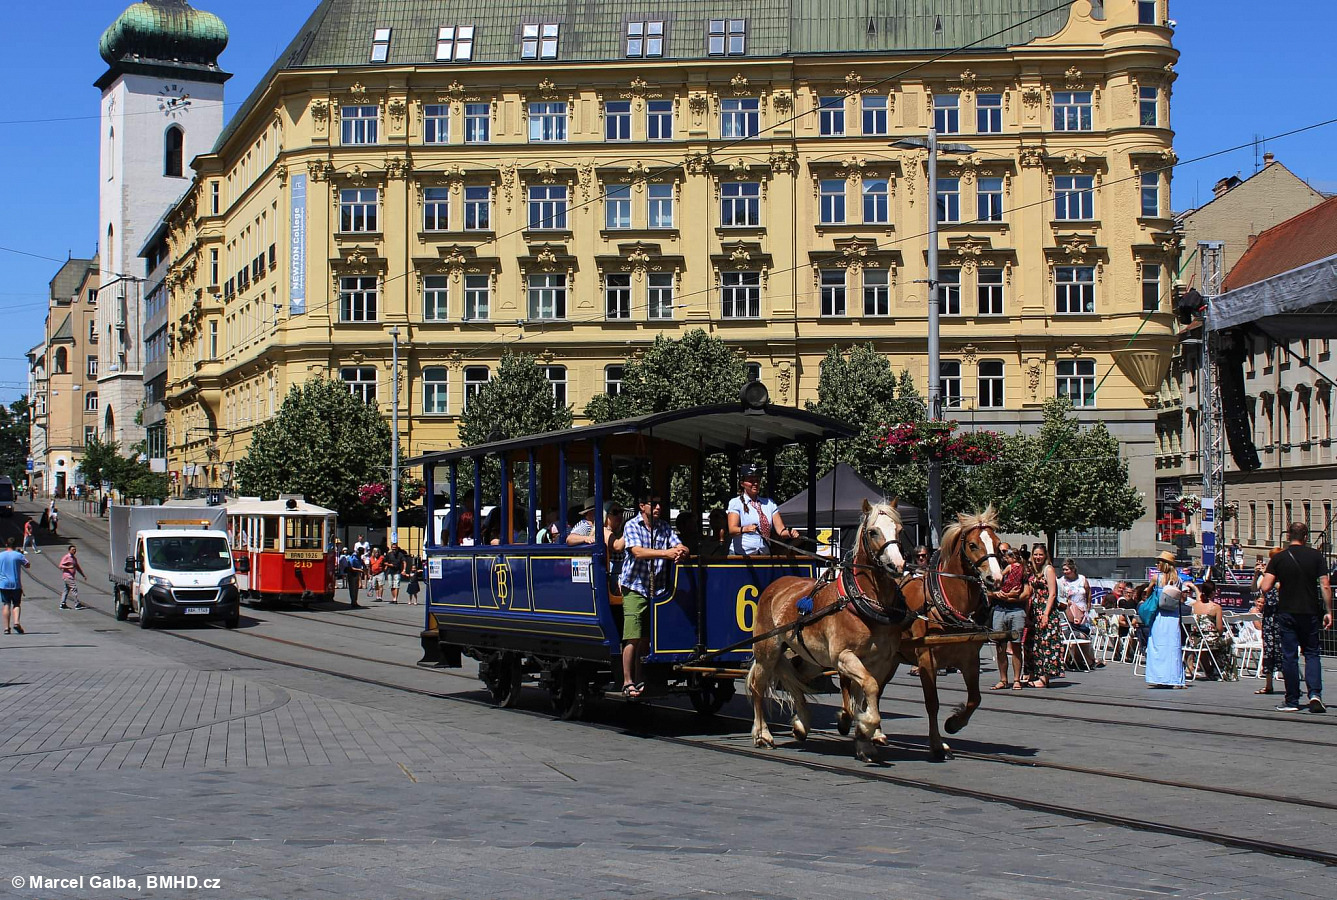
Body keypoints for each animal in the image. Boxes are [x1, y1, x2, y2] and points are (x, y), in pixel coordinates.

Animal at [746, 499, 908, 761]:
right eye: (873, 531)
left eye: (900, 530)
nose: (897, 565)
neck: (865, 603)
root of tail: (776, 585)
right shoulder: (844, 657)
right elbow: (870, 687)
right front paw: (865, 726)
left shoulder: (881, 662)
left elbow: (867, 692)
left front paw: (864, 740)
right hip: (767, 650)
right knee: (758, 688)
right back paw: (763, 734)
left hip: (810, 658)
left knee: (796, 678)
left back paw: (801, 724)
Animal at [838, 507, 1004, 760]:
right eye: (973, 545)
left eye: (997, 543)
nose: (995, 579)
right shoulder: (927, 658)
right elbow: (932, 702)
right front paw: (936, 744)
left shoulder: (969, 659)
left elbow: (975, 698)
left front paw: (954, 723)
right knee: (847, 681)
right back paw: (846, 718)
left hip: (890, 660)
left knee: (876, 688)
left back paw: (876, 733)